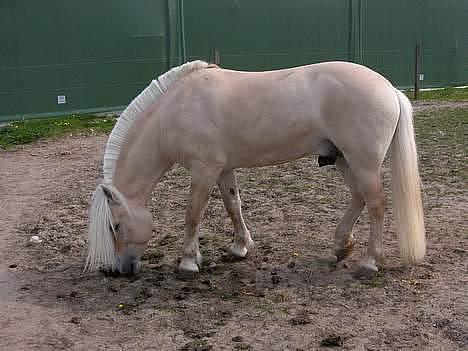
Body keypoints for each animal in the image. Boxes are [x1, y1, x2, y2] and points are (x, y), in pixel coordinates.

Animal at [84, 60, 424, 280]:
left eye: (115, 226)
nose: (119, 270)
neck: (174, 112)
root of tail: (389, 88)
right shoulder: (222, 170)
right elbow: (233, 205)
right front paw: (239, 248)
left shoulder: (204, 170)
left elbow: (193, 214)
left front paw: (188, 263)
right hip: (342, 159)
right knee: (359, 198)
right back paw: (342, 246)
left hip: (362, 161)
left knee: (376, 204)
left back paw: (369, 262)